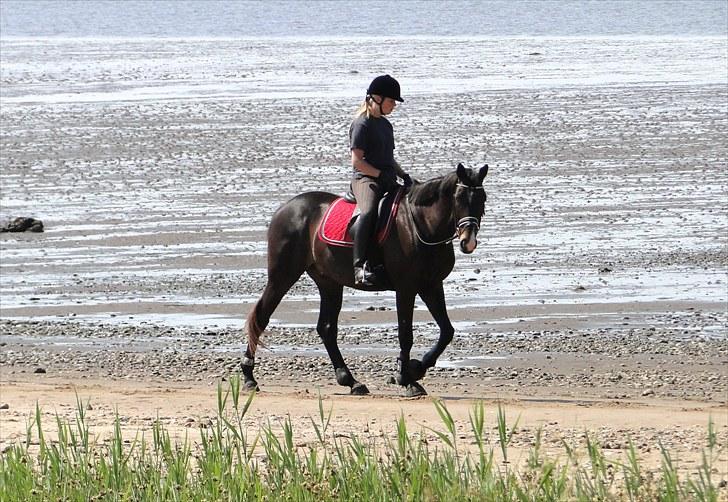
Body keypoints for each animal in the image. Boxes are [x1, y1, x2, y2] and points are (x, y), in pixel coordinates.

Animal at [243, 164, 490, 396]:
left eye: (482, 198)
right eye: (459, 198)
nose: (468, 241)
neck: (420, 225)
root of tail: (286, 208)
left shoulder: (431, 285)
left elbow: (447, 331)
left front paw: (416, 368)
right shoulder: (406, 288)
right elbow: (405, 334)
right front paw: (406, 378)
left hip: (329, 282)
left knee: (326, 328)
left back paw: (350, 380)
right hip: (282, 276)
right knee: (262, 318)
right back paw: (248, 377)